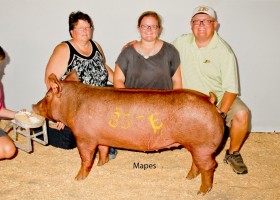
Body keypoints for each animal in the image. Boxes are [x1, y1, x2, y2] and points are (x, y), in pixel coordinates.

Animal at [32, 70, 225, 194]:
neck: (73, 104)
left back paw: (201, 192)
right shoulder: (101, 137)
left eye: (47, 95)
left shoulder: (84, 138)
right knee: (197, 164)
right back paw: (188, 178)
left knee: (209, 166)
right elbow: (103, 150)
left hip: (203, 147)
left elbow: (86, 159)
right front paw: (102, 165)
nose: (33, 105)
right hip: (197, 147)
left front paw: (78, 179)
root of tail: (210, 101)